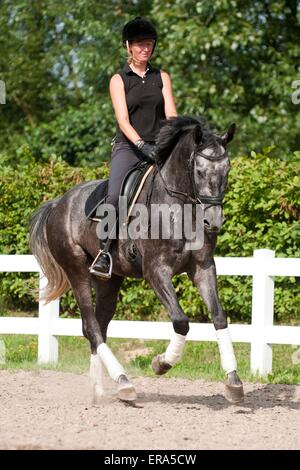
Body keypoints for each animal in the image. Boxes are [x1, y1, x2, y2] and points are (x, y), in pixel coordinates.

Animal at [28, 115, 244, 402]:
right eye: (198, 171)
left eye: (227, 169)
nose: (214, 221)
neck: (180, 210)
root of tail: (58, 203)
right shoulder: (156, 270)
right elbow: (181, 321)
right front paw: (161, 363)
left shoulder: (203, 267)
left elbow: (219, 316)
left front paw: (233, 381)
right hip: (77, 270)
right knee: (91, 326)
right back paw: (123, 381)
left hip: (110, 280)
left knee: (98, 326)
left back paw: (101, 389)